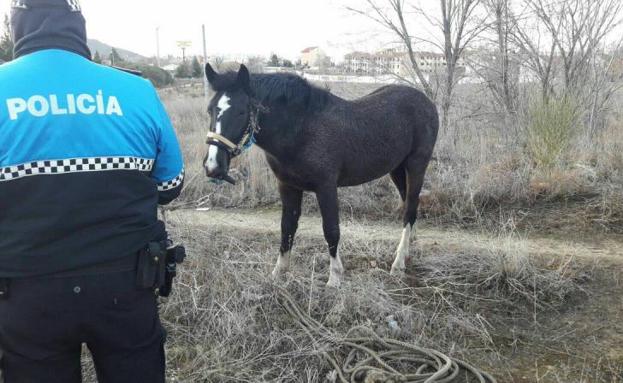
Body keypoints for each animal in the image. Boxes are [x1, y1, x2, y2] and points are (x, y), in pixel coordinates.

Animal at [205, 64, 438, 288]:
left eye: (241, 112)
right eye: (210, 110)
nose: (213, 166)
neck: (301, 129)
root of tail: (427, 102)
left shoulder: (326, 187)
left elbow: (331, 230)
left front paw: (334, 278)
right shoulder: (287, 186)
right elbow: (287, 228)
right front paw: (278, 273)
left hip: (416, 165)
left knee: (409, 208)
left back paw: (398, 263)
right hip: (396, 169)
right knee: (409, 205)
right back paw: (408, 248)